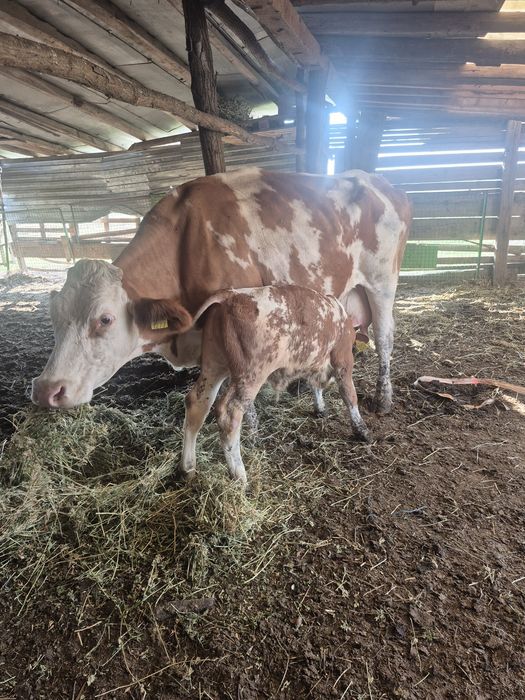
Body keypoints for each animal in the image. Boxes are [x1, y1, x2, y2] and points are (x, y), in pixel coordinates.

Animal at [31, 167, 411, 415]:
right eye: (53, 317)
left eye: (105, 319)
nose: (46, 389)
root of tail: (385, 184)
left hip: (382, 282)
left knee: (385, 337)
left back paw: (384, 399)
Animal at [181, 285, 369, 485]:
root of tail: (230, 296)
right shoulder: (343, 360)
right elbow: (350, 395)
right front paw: (362, 430)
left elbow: (315, 386)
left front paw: (320, 408)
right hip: (251, 374)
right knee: (229, 414)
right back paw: (240, 476)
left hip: (214, 366)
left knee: (197, 403)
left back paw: (187, 468)